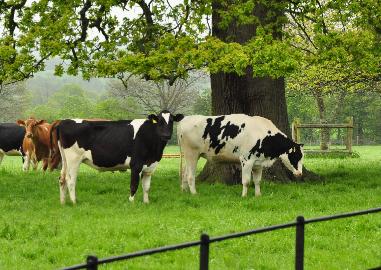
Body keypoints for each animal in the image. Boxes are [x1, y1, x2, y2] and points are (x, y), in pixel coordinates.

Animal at [54, 110, 183, 204]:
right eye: (160, 121)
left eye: (172, 121)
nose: (166, 135)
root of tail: (63, 121)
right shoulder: (136, 165)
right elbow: (134, 185)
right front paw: (131, 202)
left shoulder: (150, 167)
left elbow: (146, 187)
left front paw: (146, 203)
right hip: (74, 159)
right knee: (70, 180)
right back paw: (74, 202)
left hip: (65, 160)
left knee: (62, 178)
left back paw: (63, 202)